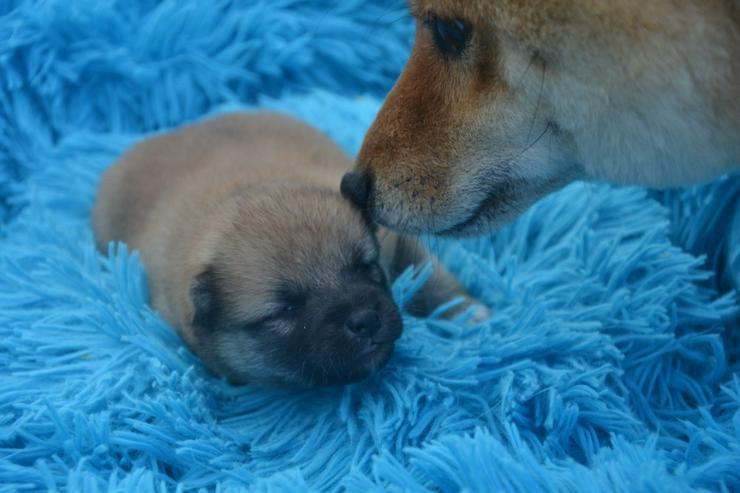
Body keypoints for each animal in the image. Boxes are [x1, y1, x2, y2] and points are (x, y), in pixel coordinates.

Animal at [91, 111, 480, 388]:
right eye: (287, 309)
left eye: (365, 267)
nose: (365, 321)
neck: (250, 188)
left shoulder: (396, 239)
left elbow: (433, 279)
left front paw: (469, 313)